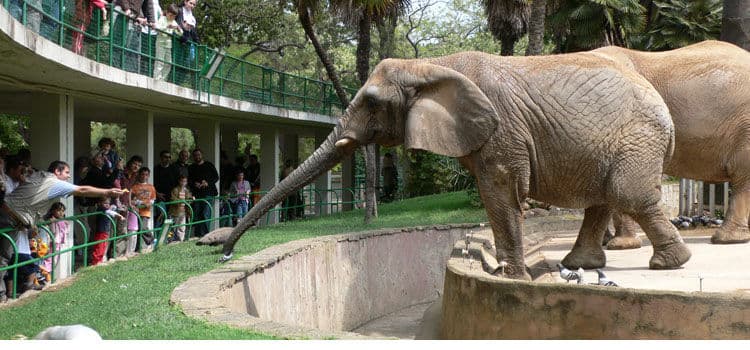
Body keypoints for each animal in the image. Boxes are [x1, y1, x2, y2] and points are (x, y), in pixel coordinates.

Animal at [200, 49, 692, 280]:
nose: (221, 249)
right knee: (603, 196)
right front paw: (510, 272)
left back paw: (670, 264)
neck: (429, 66)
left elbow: (499, 191)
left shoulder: (500, 129)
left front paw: (511, 277)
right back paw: (581, 263)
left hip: (637, 138)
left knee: (626, 193)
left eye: (372, 102)